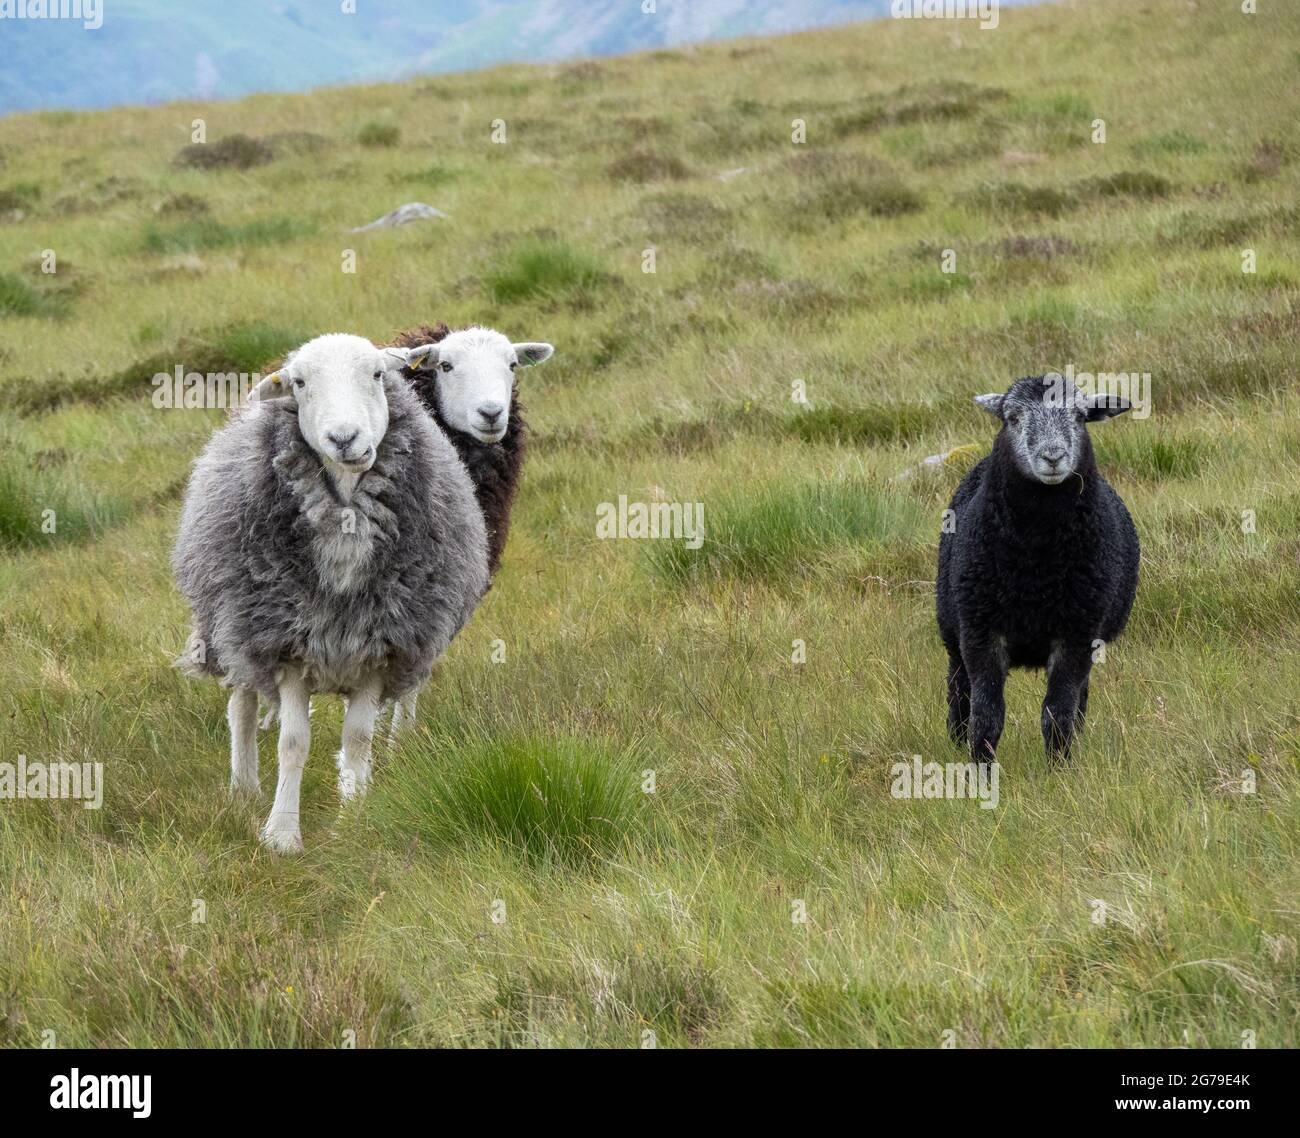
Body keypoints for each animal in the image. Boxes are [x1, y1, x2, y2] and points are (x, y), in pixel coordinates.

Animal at [935, 377, 1138, 764]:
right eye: (1012, 417)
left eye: (1080, 416)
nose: (1053, 456)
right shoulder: (981, 631)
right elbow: (987, 712)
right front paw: (980, 767)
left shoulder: (1077, 634)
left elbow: (1057, 711)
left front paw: (1059, 766)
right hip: (952, 627)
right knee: (958, 687)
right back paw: (954, 739)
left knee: (1079, 698)